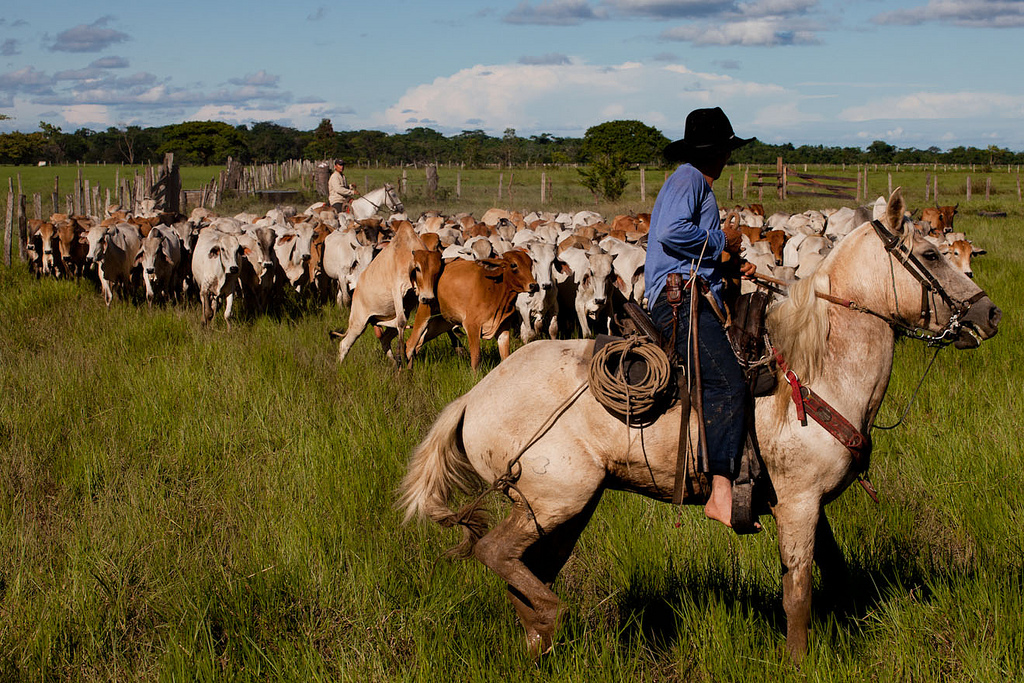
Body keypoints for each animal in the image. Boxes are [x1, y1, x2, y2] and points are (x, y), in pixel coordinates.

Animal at [403, 248, 540, 370]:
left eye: (530, 265)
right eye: (513, 265)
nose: (534, 285)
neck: (497, 289)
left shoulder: (503, 328)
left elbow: (506, 357)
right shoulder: (472, 326)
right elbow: (476, 359)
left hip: (440, 324)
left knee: (416, 345)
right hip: (424, 313)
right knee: (410, 345)